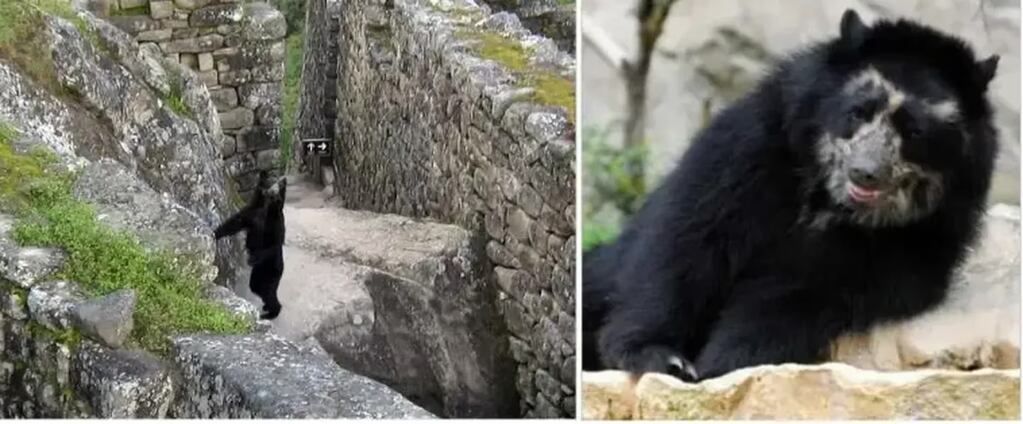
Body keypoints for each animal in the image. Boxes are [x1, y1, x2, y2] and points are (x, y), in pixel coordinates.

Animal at [215, 171, 288, 320]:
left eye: (279, 184)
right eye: (271, 180)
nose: (274, 190)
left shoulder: (275, 223)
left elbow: (275, 241)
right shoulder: (251, 213)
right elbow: (235, 222)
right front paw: (216, 232)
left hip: (271, 269)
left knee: (267, 291)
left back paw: (271, 312)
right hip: (259, 272)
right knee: (257, 286)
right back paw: (267, 307)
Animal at [582, 9, 1000, 382]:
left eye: (914, 132)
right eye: (858, 112)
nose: (865, 172)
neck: (829, 203)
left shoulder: (917, 241)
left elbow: (798, 298)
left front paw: (719, 365)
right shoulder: (752, 148)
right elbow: (687, 241)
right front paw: (663, 358)